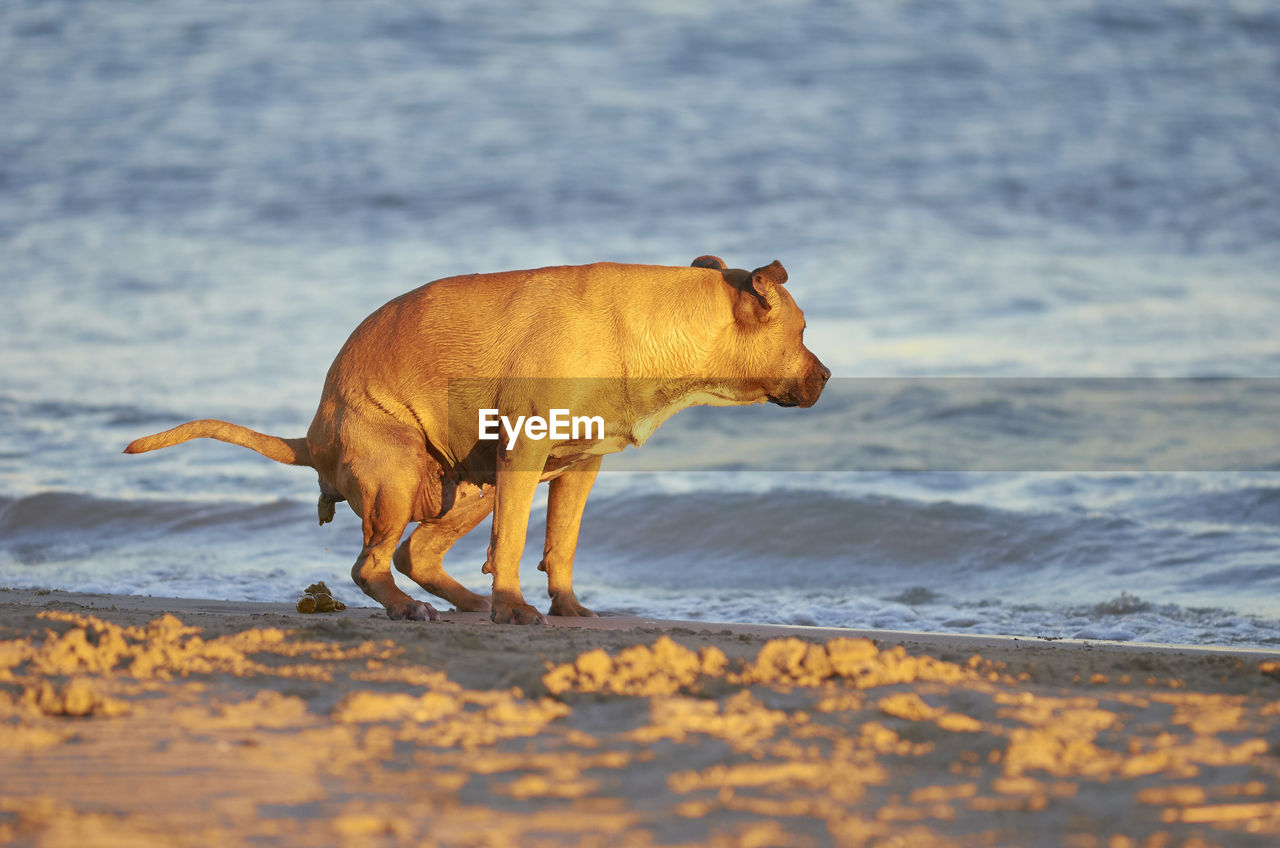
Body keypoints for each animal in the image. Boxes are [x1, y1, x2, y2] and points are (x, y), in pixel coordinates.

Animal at [124, 257, 829, 625]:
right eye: (800, 332)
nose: (825, 375)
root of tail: (315, 434)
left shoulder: (576, 469)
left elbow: (561, 544)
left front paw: (562, 605)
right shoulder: (526, 454)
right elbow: (514, 543)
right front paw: (513, 606)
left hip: (468, 486)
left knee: (416, 554)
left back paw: (463, 601)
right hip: (403, 476)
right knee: (373, 563)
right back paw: (413, 608)